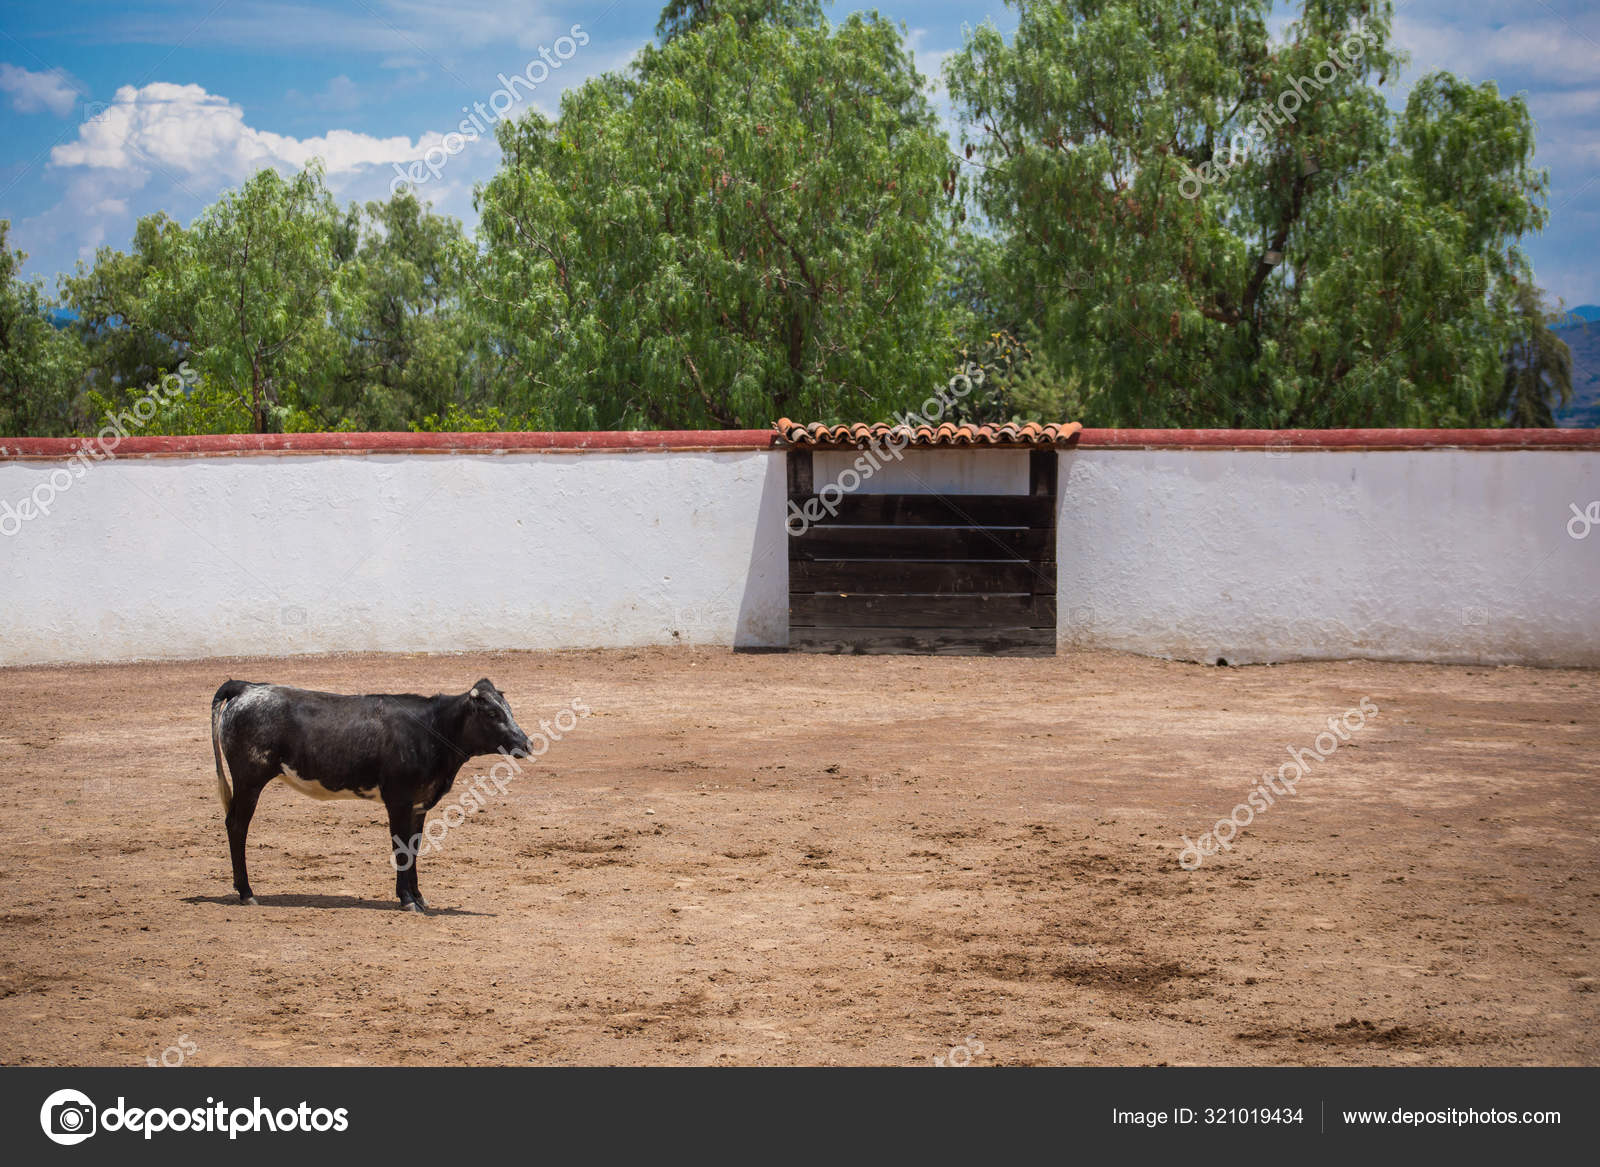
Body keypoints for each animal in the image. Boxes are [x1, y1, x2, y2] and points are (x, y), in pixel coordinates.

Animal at [210, 678, 532, 912]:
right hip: (249, 780)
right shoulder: (399, 800)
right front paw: (407, 900)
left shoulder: (419, 805)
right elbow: (401, 847)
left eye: (509, 710)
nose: (527, 743)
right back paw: (247, 893)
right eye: (493, 713)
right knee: (237, 825)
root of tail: (247, 688)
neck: (432, 729)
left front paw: (418, 896)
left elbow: (415, 847)